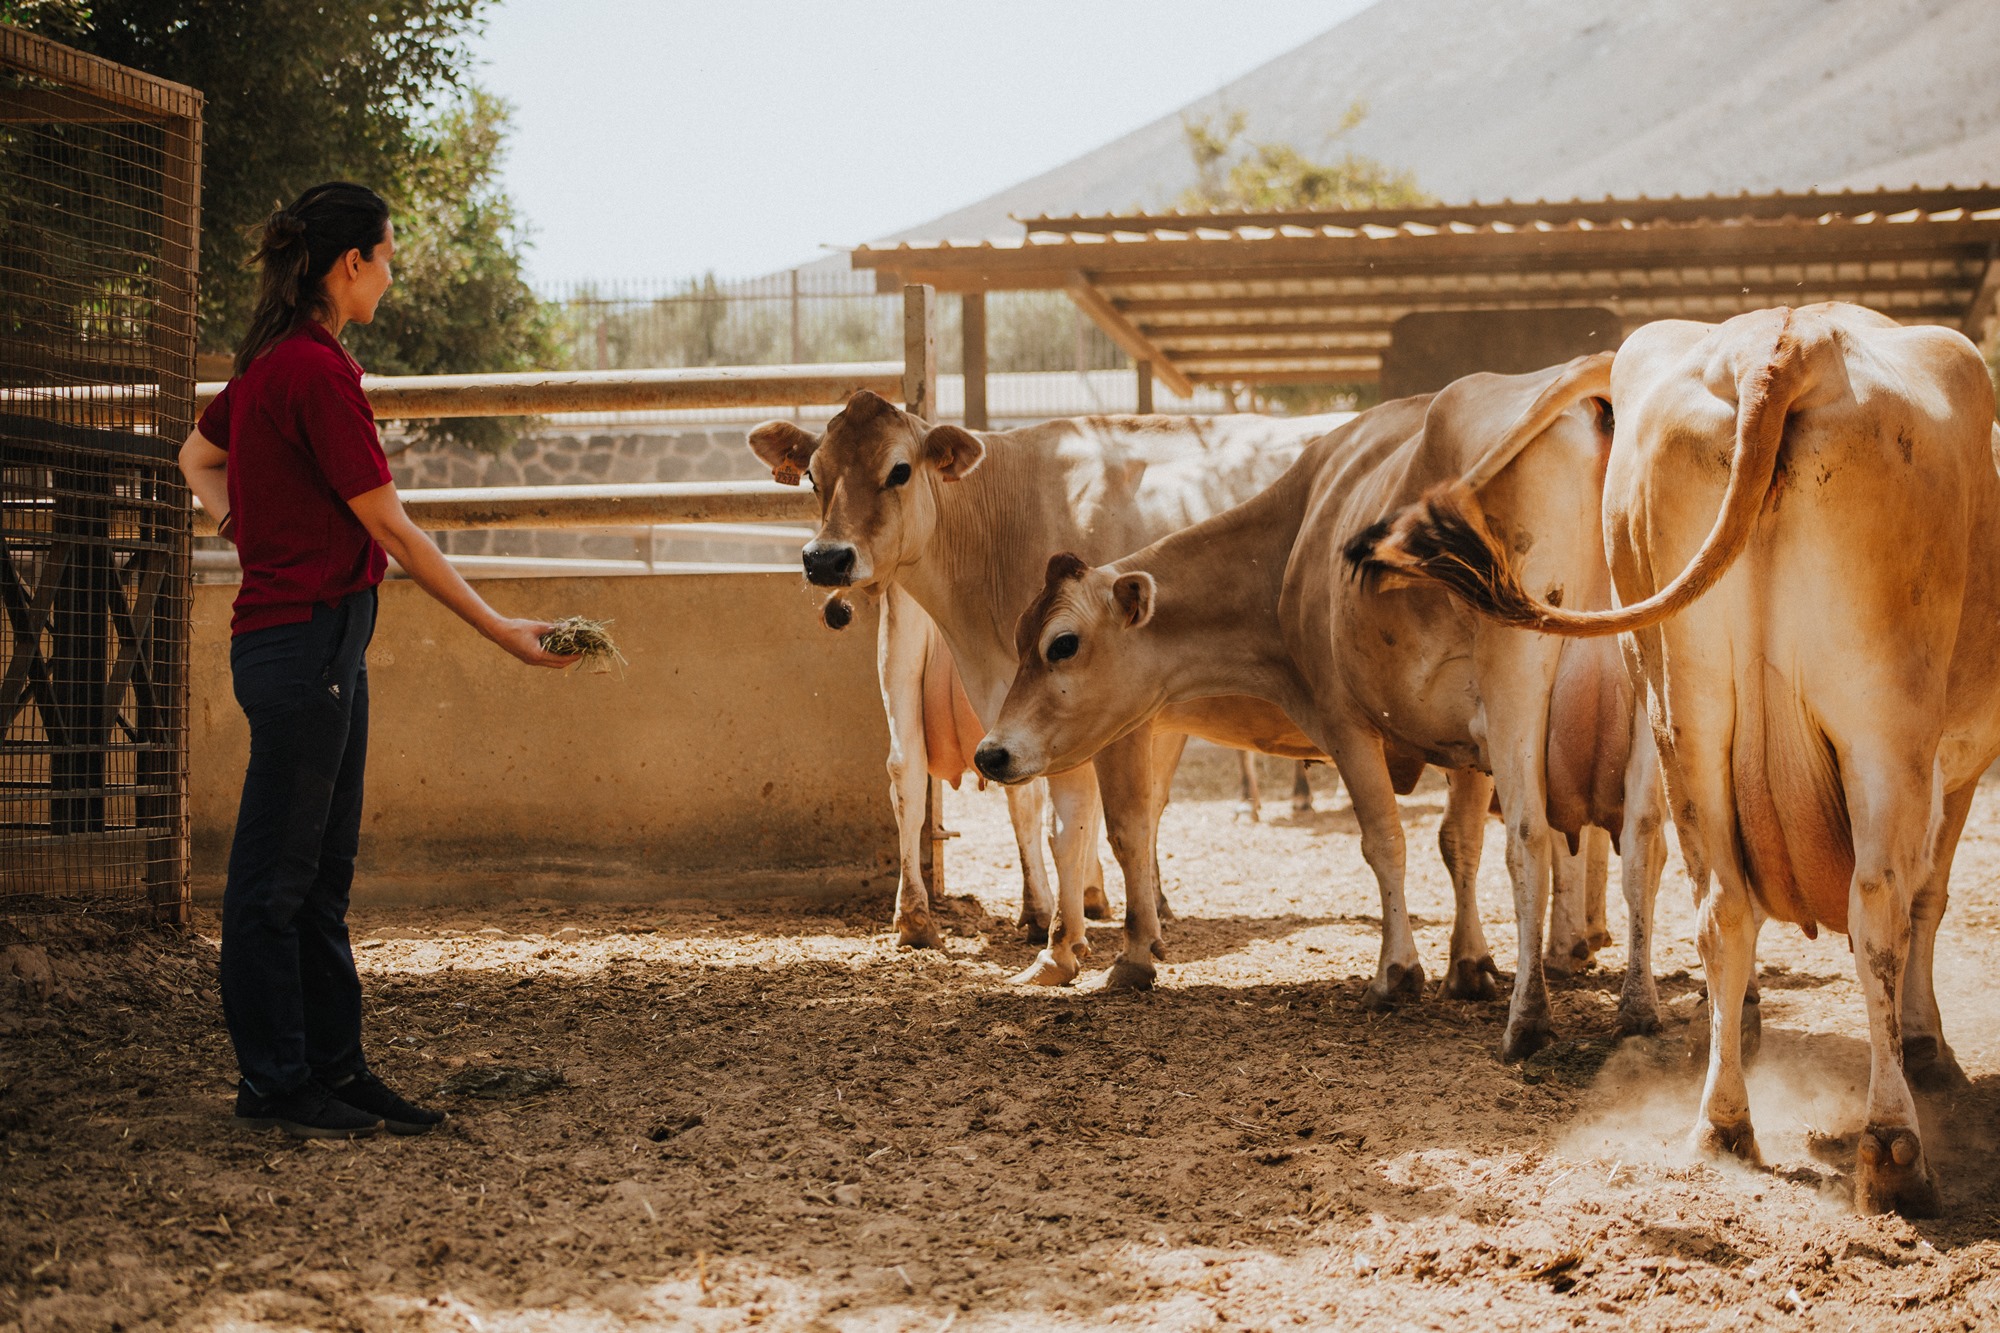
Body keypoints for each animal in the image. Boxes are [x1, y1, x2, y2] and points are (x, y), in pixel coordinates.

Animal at [747, 392, 1345, 961]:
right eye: (813, 474)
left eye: (900, 469)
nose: (826, 559)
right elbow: (1070, 813)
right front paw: (1075, 922)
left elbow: (1093, 814)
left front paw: (1079, 925)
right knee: (910, 771)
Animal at [972, 363, 1668, 1054]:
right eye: (1017, 637)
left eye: (1062, 644)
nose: (989, 752)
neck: (1294, 541)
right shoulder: (1465, 746)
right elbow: (1458, 842)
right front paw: (1468, 966)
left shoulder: (1347, 723)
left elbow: (1384, 840)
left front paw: (1396, 974)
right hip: (1655, 694)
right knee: (1643, 837)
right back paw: (1638, 1007)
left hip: (1517, 681)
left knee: (1529, 838)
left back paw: (1528, 1019)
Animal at [1353, 303, 2000, 1216]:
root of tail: (1786, 340)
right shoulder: (1961, 764)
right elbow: (1928, 899)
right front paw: (1928, 1042)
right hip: (1883, 722)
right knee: (1878, 906)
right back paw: (1893, 1148)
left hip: (1681, 712)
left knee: (1720, 904)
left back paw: (1721, 1121)